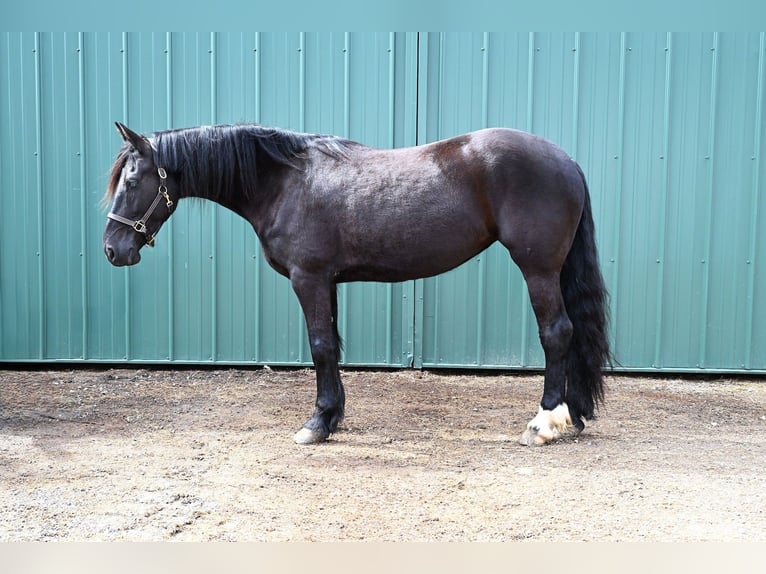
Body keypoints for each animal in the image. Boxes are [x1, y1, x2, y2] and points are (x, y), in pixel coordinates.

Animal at [103, 122, 611, 446]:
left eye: (132, 179)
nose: (112, 249)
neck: (284, 182)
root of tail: (566, 161)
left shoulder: (308, 278)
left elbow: (320, 345)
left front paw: (315, 424)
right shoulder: (327, 281)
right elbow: (332, 345)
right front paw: (332, 418)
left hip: (538, 268)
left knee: (557, 333)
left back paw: (544, 423)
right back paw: (575, 416)